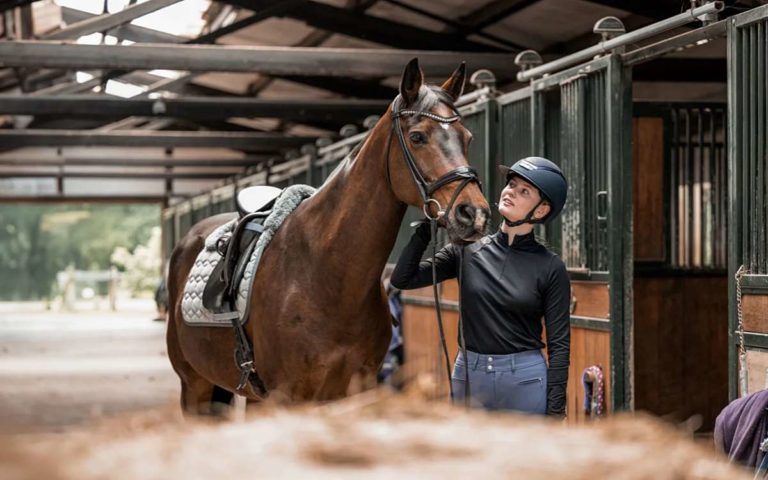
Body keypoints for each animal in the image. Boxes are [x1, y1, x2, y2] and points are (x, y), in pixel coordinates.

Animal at [168, 58, 492, 414]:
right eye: (418, 136)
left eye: (467, 138)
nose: (473, 213)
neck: (323, 271)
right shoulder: (289, 397)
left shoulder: (354, 393)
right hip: (195, 387)